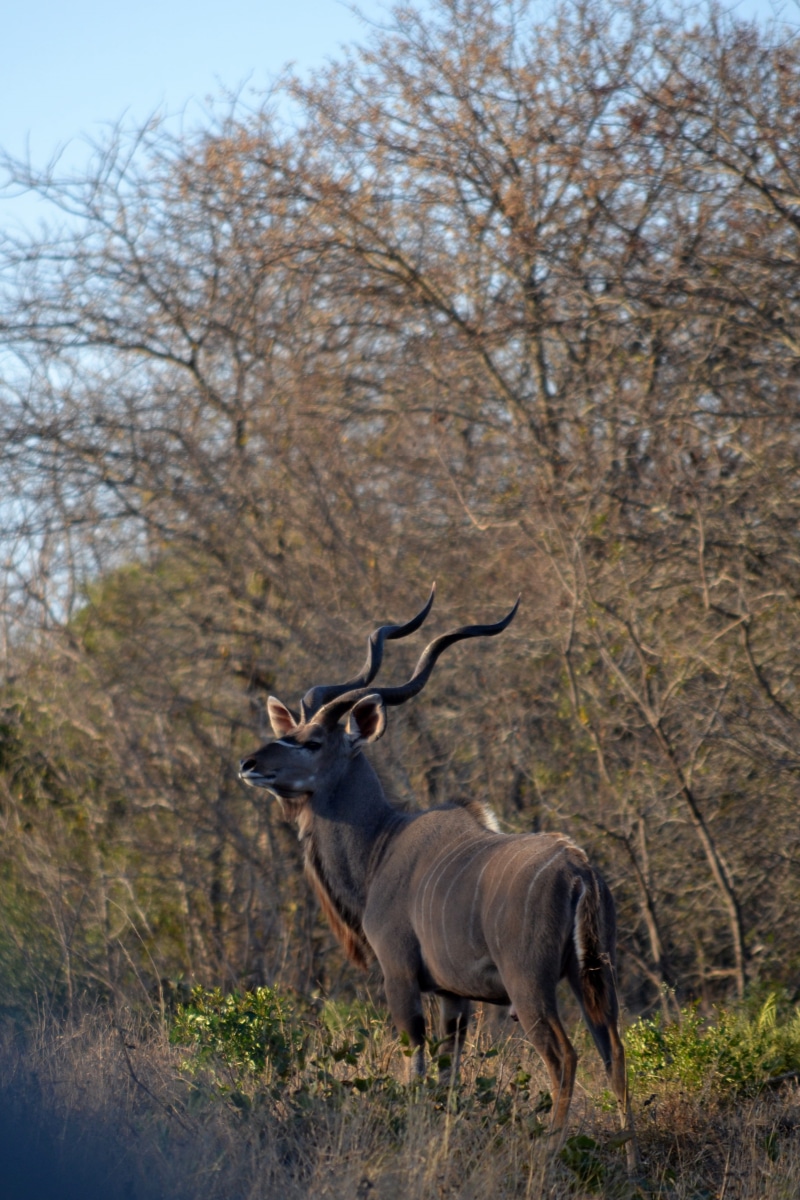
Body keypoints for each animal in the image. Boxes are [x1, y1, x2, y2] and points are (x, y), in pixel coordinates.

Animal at [238, 590, 638, 1171]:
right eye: (285, 733)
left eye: (310, 742)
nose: (249, 763)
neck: (381, 845)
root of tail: (578, 867)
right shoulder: (455, 996)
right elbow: (450, 1072)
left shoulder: (401, 977)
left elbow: (418, 1065)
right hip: (595, 977)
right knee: (615, 1050)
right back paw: (631, 1158)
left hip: (531, 985)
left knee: (564, 1055)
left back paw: (550, 1151)